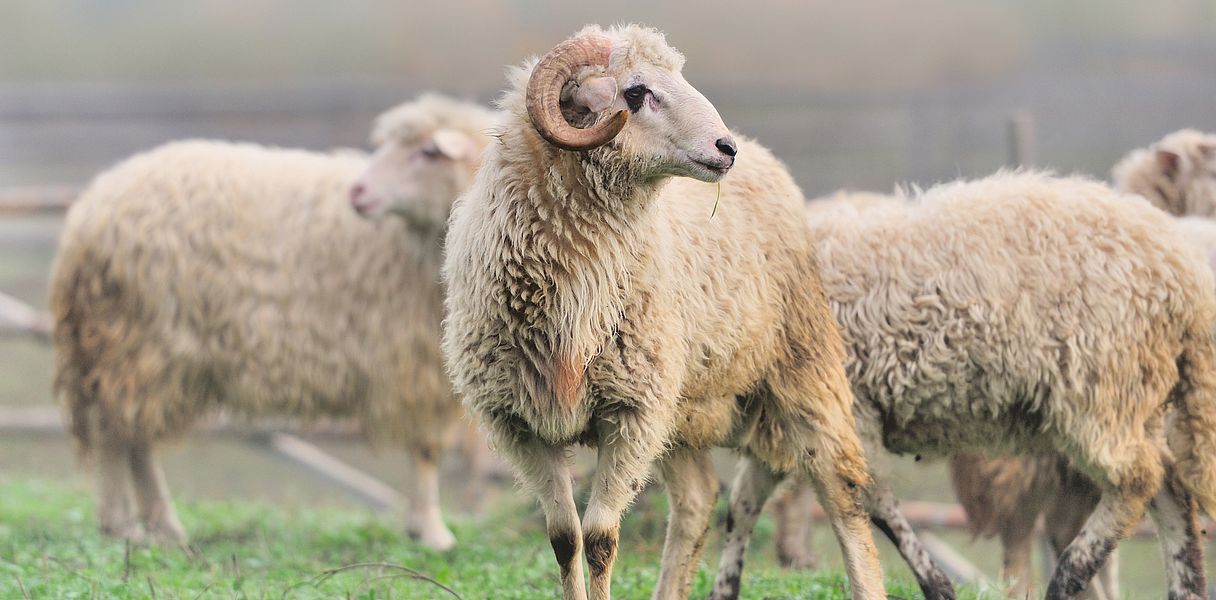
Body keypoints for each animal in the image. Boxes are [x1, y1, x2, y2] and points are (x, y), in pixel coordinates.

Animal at [50, 94, 496, 550]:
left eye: (429, 152)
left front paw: (423, 527)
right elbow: (426, 451)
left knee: (121, 432)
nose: (357, 191)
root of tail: (89, 213)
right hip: (144, 343)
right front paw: (432, 531)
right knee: (123, 434)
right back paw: (142, 524)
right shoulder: (414, 363)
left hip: (119, 346)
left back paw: (134, 525)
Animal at [441, 23, 886, 600]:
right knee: (697, 501)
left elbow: (600, 537)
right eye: (635, 92)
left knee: (842, 489)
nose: (725, 148)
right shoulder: (520, 424)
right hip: (681, 404)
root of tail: (767, 156)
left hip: (804, 365)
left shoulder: (631, 413)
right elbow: (564, 538)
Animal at [712, 172, 1216, 600]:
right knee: (1169, 488)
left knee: (1140, 478)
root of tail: (1184, 274)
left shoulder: (851, 409)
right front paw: (723, 588)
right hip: (1135, 393)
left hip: (1099, 384)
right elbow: (743, 503)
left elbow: (872, 500)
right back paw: (1183, 586)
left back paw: (1070, 573)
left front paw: (937, 586)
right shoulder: (789, 421)